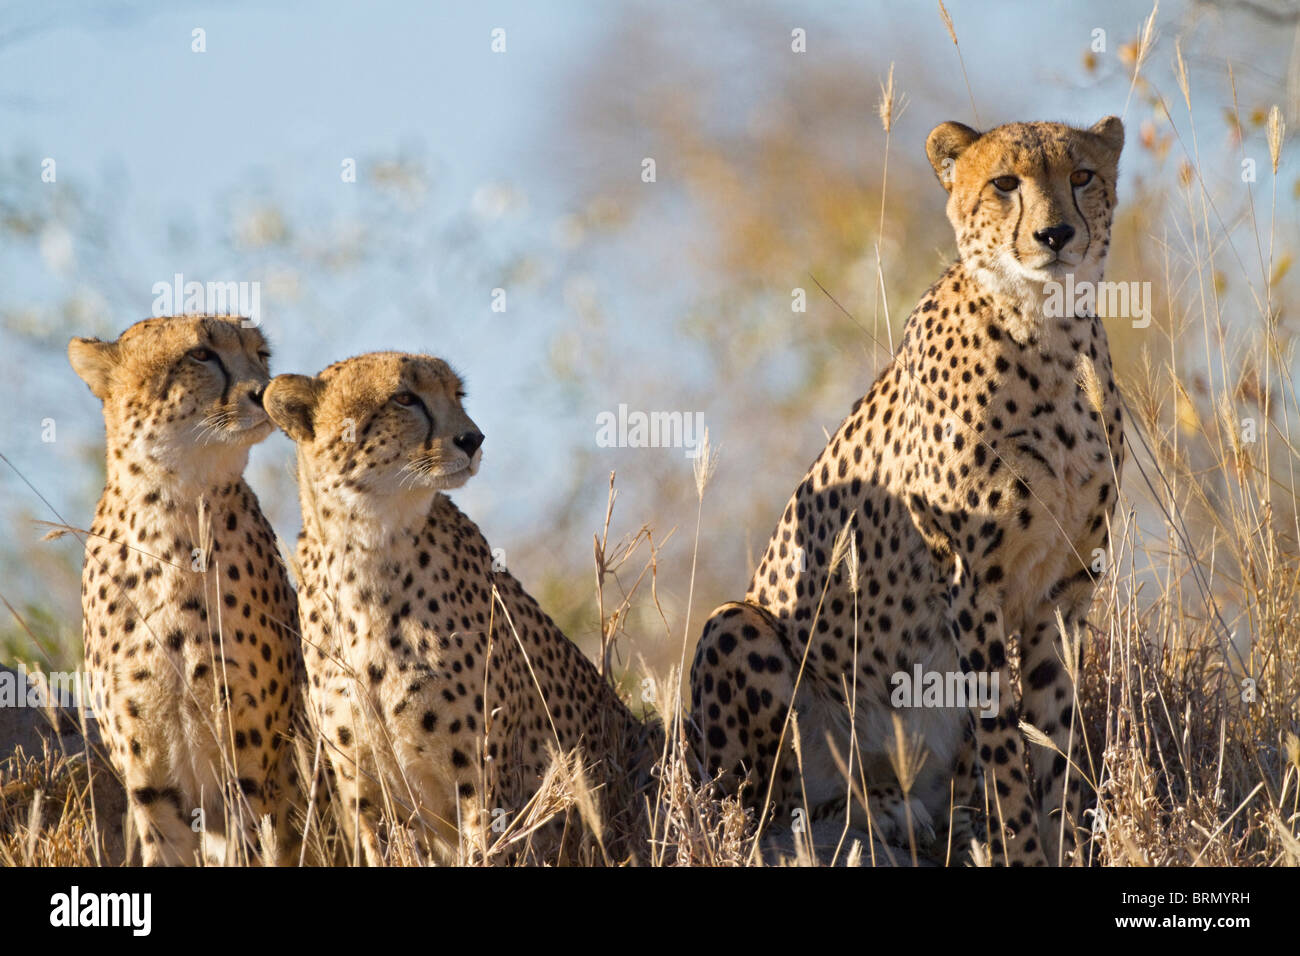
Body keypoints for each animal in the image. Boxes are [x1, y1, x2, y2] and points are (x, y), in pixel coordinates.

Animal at [263, 353, 655, 868]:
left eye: (457, 394)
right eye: (404, 398)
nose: (473, 438)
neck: (368, 544)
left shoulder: (485, 783)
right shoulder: (368, 796)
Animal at [691, 117, 1128, 868]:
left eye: (1082, 176)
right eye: (1005, 183)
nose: (1056, 235)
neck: (1047, 332)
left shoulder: (1063, 590)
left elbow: (1056, 739)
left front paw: (1065, 842)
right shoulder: (969, 583)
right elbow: (1003, 738)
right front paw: (1019, 844)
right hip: (737, 629)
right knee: (774, 814)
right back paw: (871, 818)